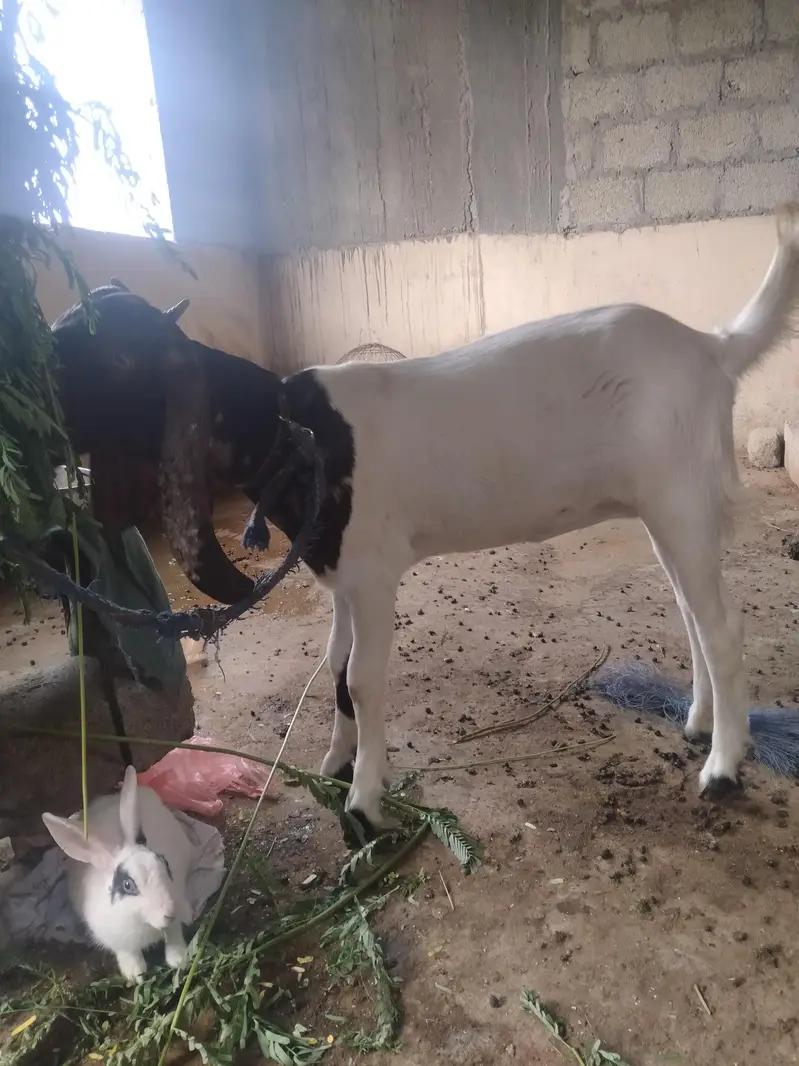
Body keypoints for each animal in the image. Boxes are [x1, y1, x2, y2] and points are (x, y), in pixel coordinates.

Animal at [50, 205, 799, 837]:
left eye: (113, 359)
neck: (305, 436)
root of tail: (710, 347)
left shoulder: (374, 571)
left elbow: (360, 678)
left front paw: (364, 802)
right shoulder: (341, 574)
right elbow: (333, 666)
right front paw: (335, 763)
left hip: (681, 493)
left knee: (722, 625)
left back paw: (723, 768)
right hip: (664, 505)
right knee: (693, 613)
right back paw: (698, 726)